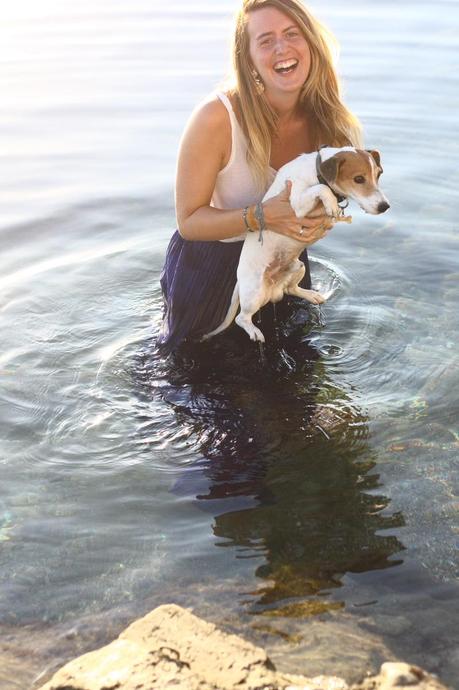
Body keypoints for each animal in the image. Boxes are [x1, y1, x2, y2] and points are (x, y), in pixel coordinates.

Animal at [205, 145, 388, 342]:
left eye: (379, 174)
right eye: (359, 179)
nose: (385, 206)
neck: (316, 170)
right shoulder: (297, 204)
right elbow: (321, 188)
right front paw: (331, 202)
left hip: (298, 267)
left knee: (291, 289)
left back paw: (311, 295)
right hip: (255, 292)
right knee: (241, 318)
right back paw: (254, 331)